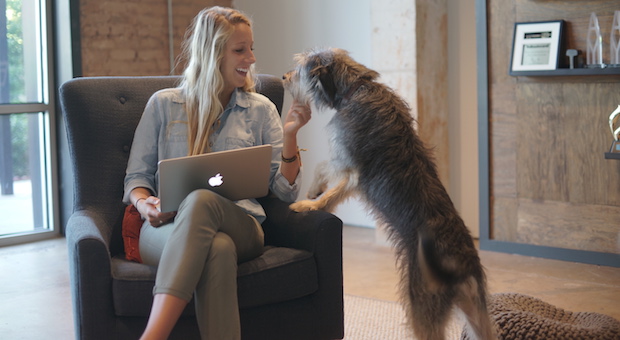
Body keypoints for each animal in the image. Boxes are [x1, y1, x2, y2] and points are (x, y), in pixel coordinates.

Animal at [284, 48, 496, 340]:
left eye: (301, 68)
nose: (284, 77)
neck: (356, 88)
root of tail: (460, 267)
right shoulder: (349, 171)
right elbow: (328, 178)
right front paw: (315, 195)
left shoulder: (350, 168)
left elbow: (324, 172)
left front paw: (310, 200)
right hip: (476, 313)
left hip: (421, 309)